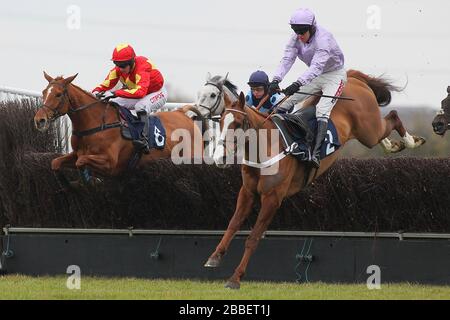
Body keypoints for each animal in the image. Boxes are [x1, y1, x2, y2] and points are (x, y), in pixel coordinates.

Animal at [34, 73, 203, 182]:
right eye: (44, 92)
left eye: (58, 94)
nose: (39, 120)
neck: (95, 123)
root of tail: (182, 113)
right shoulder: (76, 153)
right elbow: (56, 163)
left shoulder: (109, 163)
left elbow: (81, 162)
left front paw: (87, 179)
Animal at [207, 70, 426, 290]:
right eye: (220, 122)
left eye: (236, 124)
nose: (220, 158)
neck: (266, 148)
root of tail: (352, 77)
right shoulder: (247, 192)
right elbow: (233, 224)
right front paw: (214, 257)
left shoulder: (272, 198)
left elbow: (253, 237)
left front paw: (235, 278)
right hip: (366, 130)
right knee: (384, 130)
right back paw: (392, 145)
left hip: (368, 128)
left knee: (393, 116)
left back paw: (412, 141)